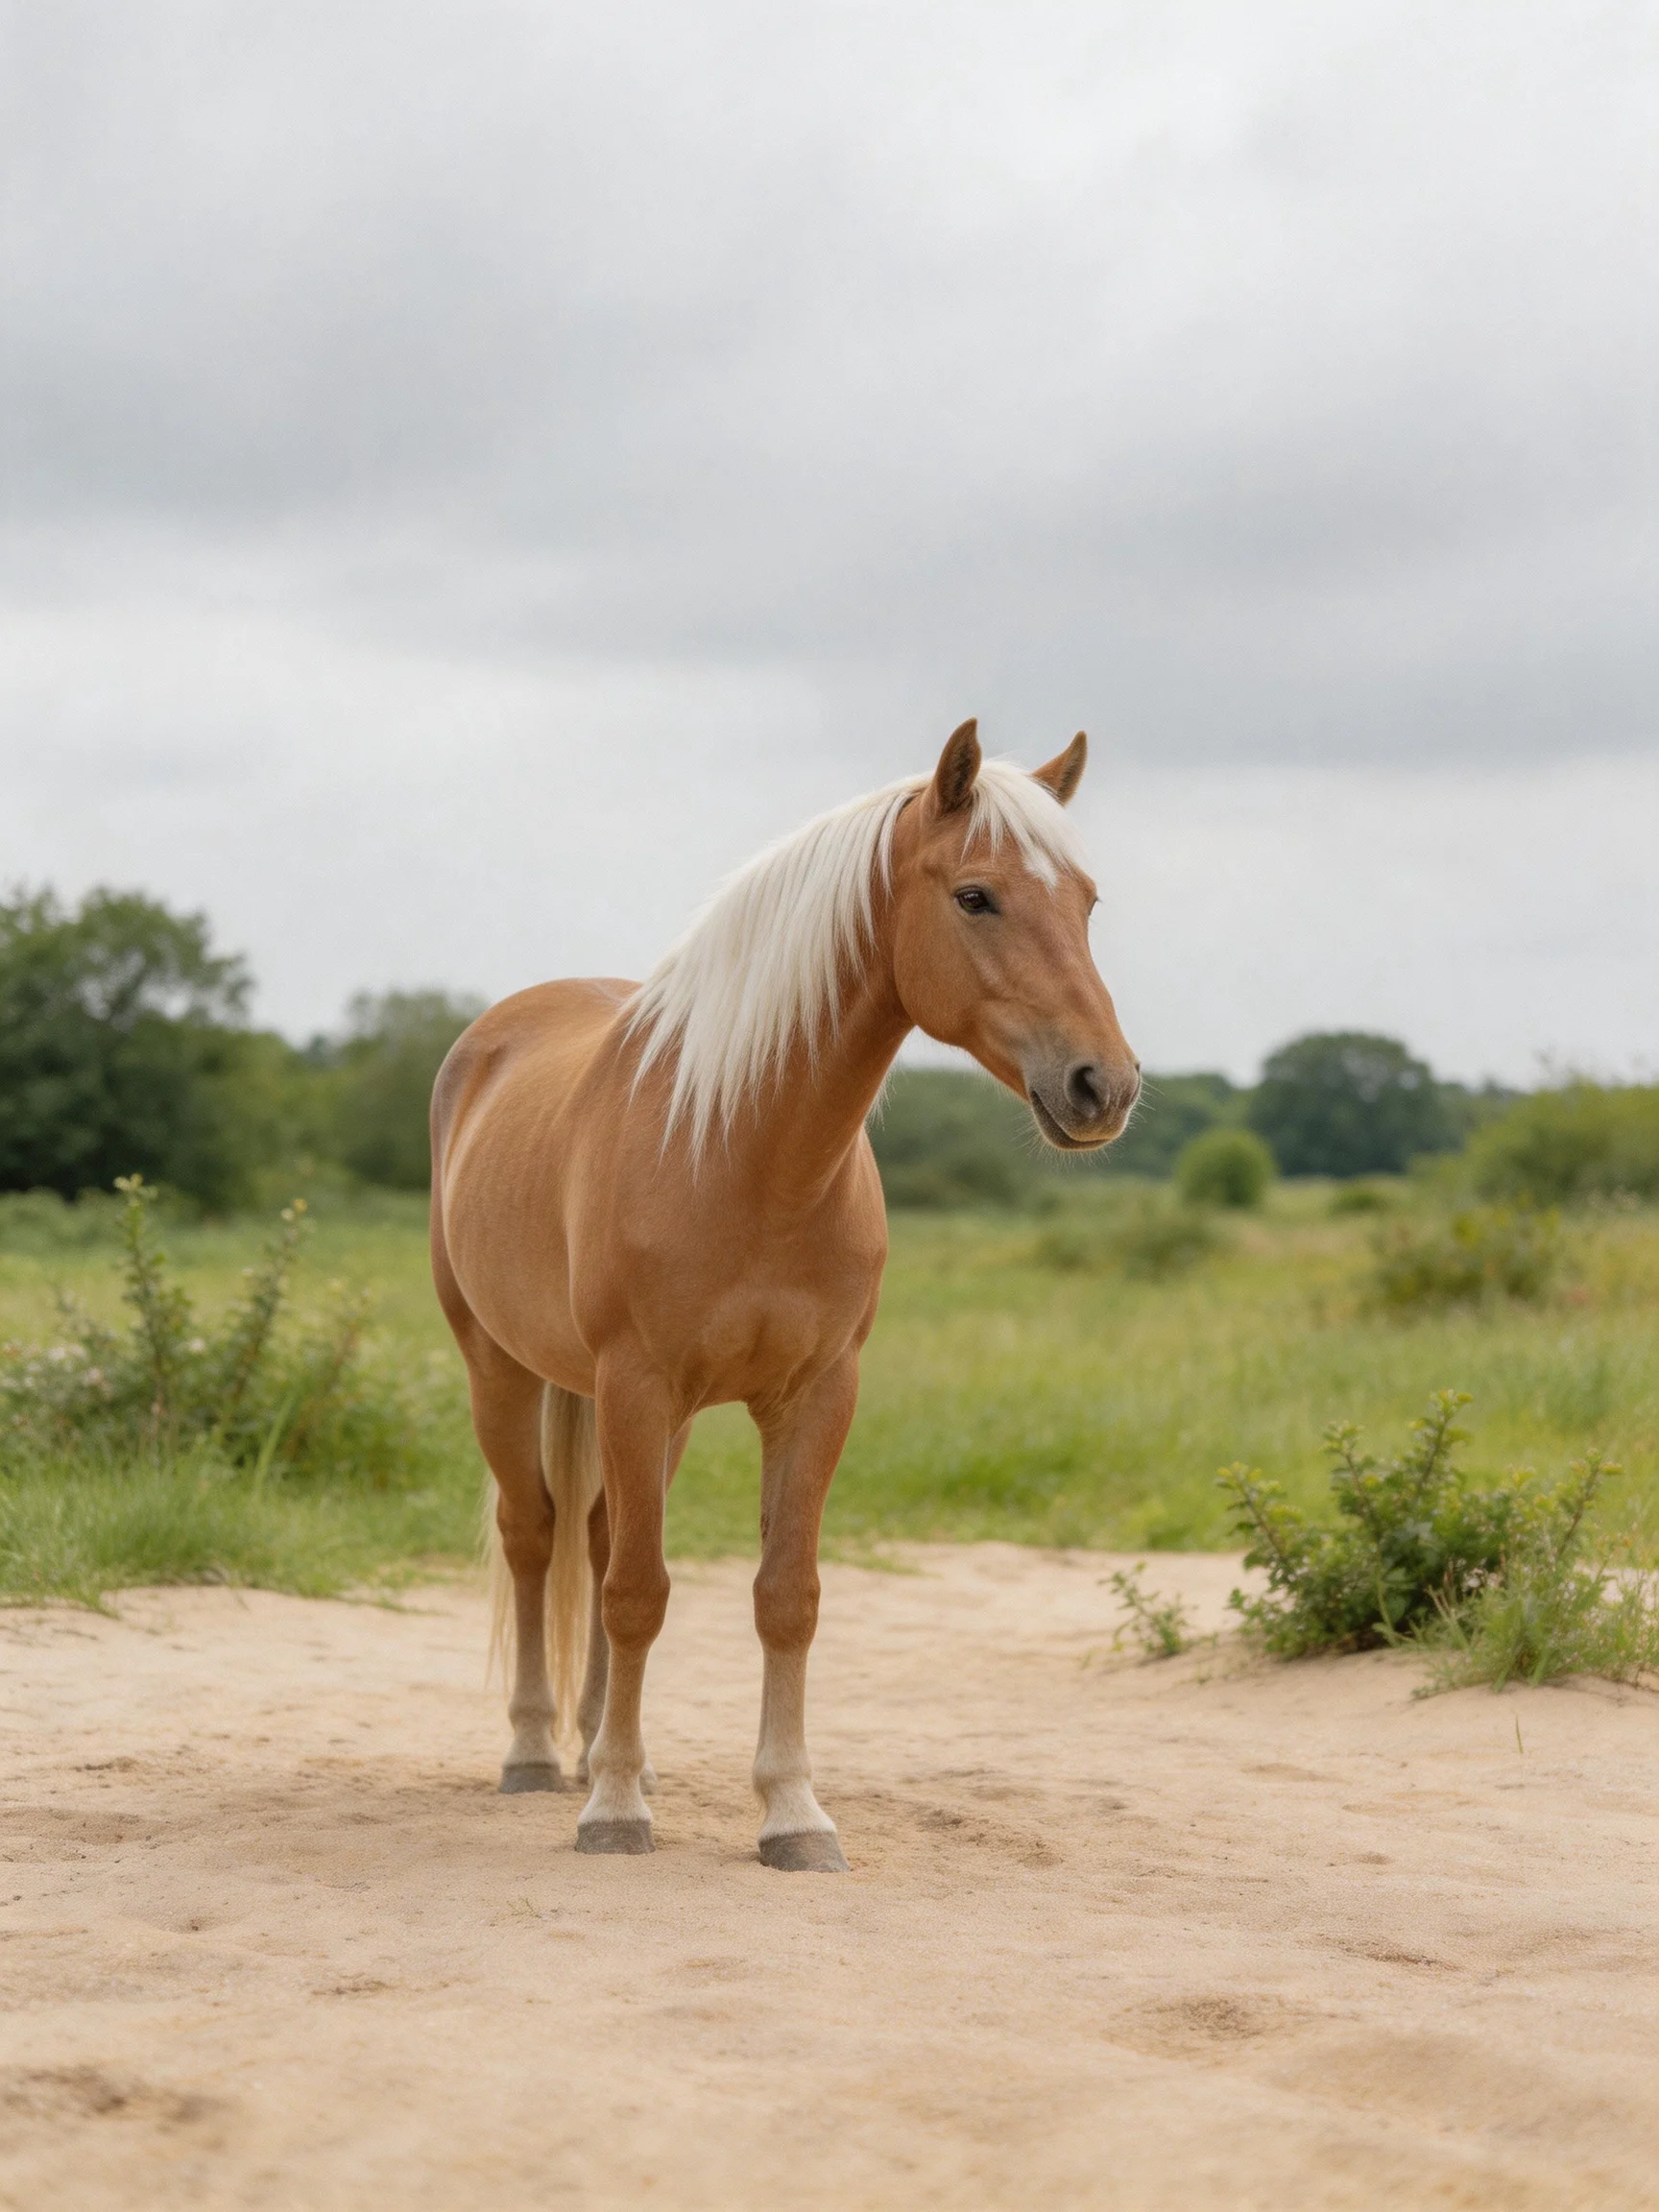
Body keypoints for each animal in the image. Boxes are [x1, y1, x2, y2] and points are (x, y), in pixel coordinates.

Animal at [430, 719, 1139, 1870]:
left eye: (1085, 900)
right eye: (976, 896)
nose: (1102, 1087)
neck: (746, 1152)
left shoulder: (815, 1395)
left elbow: (783, 1597)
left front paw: (792, 1814)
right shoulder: (636, 1386)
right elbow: (638, 1594)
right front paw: (615, 1813)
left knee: (597, 1534)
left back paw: (607, 1751)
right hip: (504, 1370)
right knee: (536, 1536)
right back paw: (541, 1756)